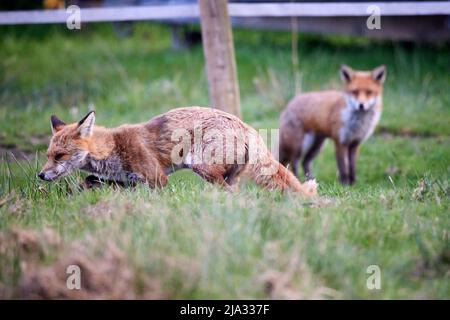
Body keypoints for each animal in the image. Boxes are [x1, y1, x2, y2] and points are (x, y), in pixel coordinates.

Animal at [38, 107, 318, 198]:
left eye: (60, 156)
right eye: (48, 155)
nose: (40, 175)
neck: (114, 148)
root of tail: (244, 124)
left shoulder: (157, 179)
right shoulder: (125, 181)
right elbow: (88, 180)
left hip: (202, 166)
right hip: (229, 175)